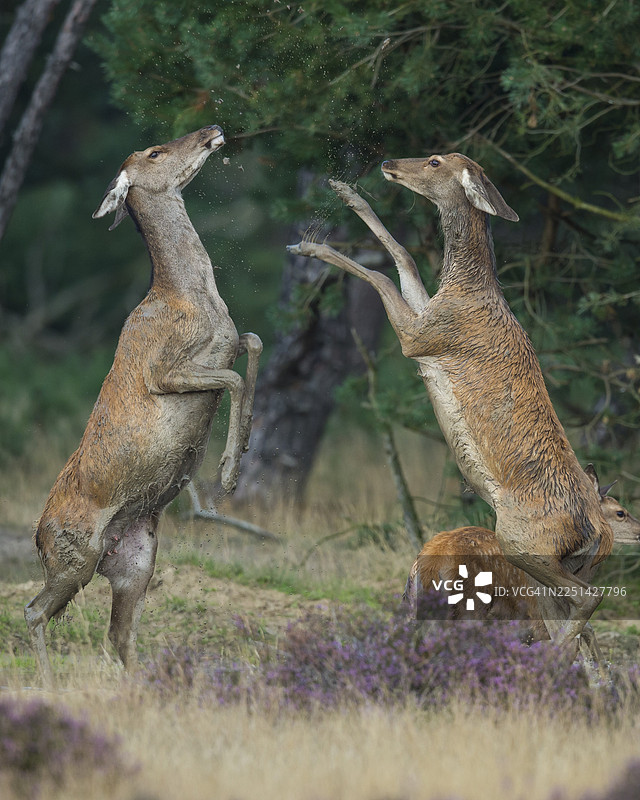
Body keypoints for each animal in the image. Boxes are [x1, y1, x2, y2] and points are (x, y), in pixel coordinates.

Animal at [25, 125, 263, 686]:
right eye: (155, 151)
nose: (212, 130)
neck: (195, 298)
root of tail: (37, 539)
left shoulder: (227, 341)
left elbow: (254, 342)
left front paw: (239, 455)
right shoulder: (162, 370)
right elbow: (233, 378)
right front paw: (226, 474)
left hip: (136, 561)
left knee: (118, 635)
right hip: (74, 555)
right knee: (34, 611)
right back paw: (50, 683)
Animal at [288, 153, 614, 662]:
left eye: (435, 160)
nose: (389, 162)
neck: (464, 289)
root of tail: (596, 529)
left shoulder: (423, 337)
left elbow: (382, 274)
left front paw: (309, 246)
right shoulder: (427, 320)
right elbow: (403, 256)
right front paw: (345, 191)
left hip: (523, 539)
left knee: (586, 600)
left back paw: (549, 658)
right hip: (555, 563)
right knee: (571, 613)